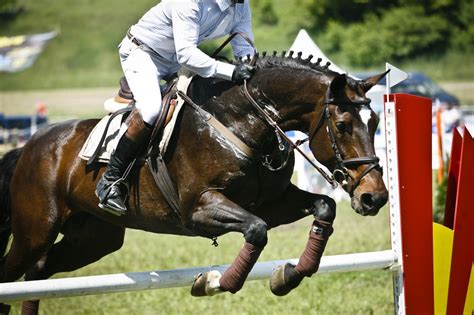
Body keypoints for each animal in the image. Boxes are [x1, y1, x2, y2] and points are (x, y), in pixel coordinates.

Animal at [0, 53, 386, 314]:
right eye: (343, 125)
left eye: (376, 121)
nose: (375, 197)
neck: (243, 122)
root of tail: (29, 145)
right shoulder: (200, 209)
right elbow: (257, 230)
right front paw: (212, 282)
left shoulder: (272, 203)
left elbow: (324, 206)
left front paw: (287, 275)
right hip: (36, 231)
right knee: (14, 270)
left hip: (93, 239)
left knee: (38, 272)